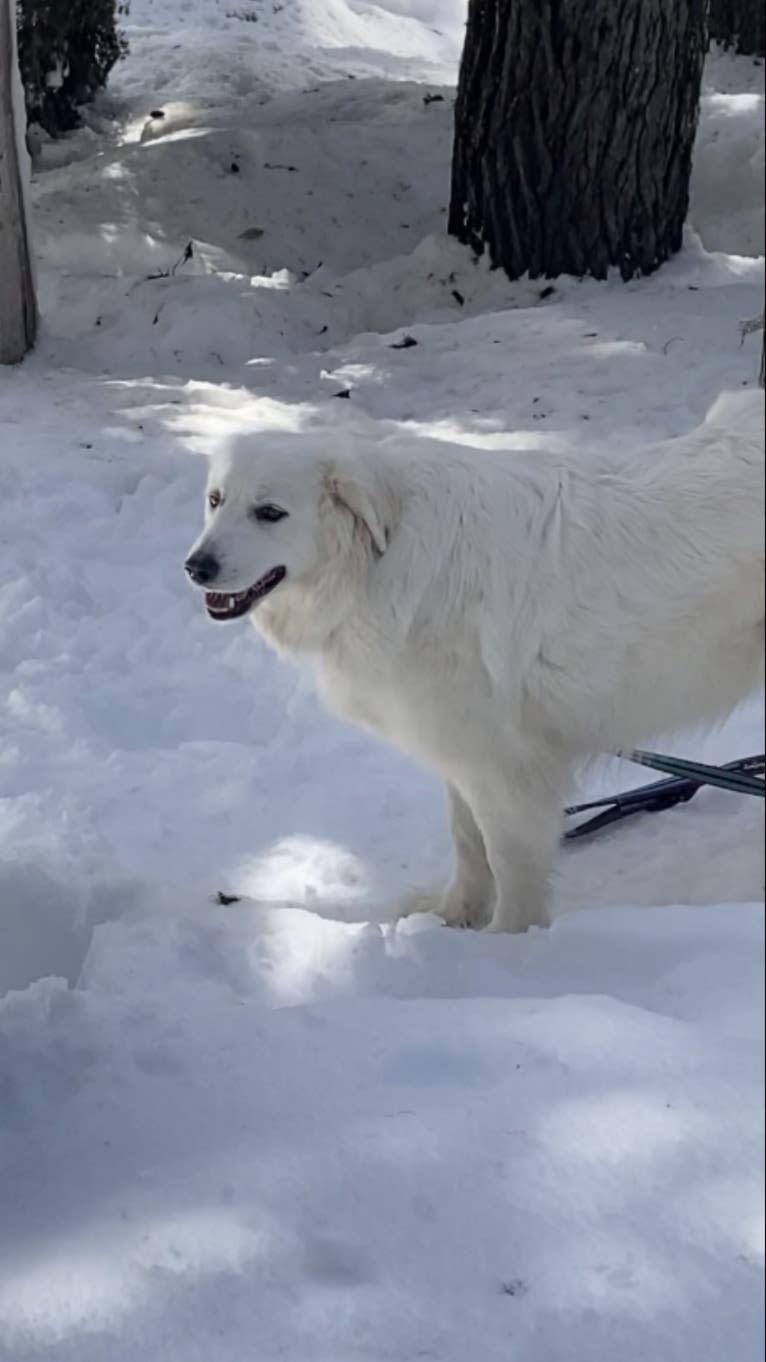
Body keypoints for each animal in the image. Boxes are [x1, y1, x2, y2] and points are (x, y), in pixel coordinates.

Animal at [186, 389, 763, 931]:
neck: (378, 556)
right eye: (216, 501)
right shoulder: (463, 748)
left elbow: (508, 858)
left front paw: (508, 940)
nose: (196, 567)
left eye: (269, 513)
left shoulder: (505, 768)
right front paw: (454, 916)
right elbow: (467, 840)